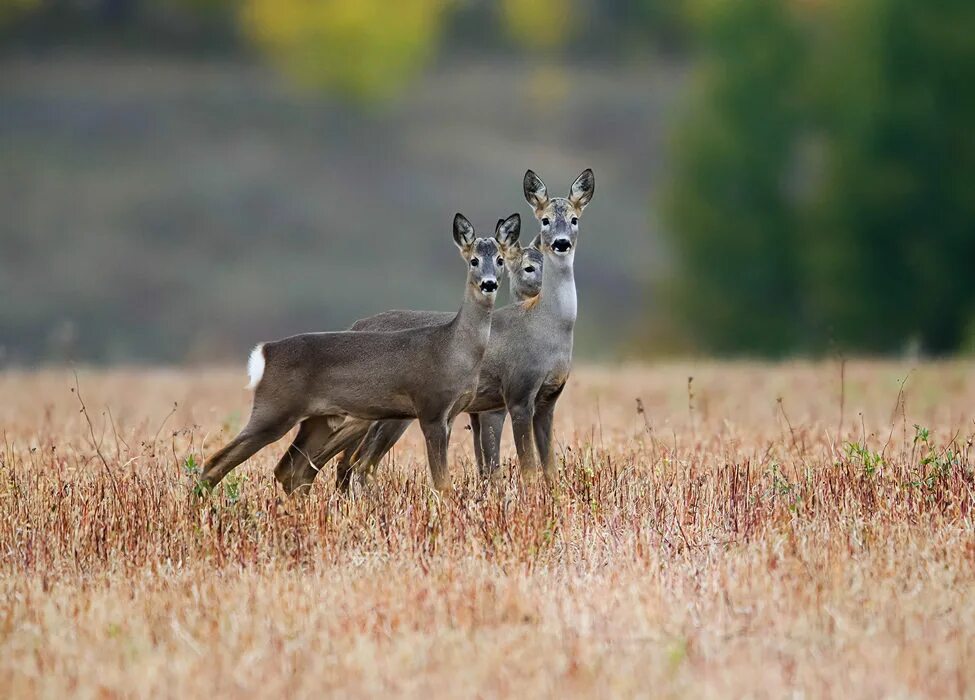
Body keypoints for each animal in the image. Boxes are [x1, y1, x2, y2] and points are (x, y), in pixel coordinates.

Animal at [197, 213, 520, 492]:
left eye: (500, 260)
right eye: (474, 260)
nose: (489, 283)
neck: (453, 348)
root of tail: (265, 352)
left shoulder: (451, 414)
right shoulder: (431, 407)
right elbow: (442, 483)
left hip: (318, 419)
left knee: (290, 469)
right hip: (274, 409)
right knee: (215, 463)